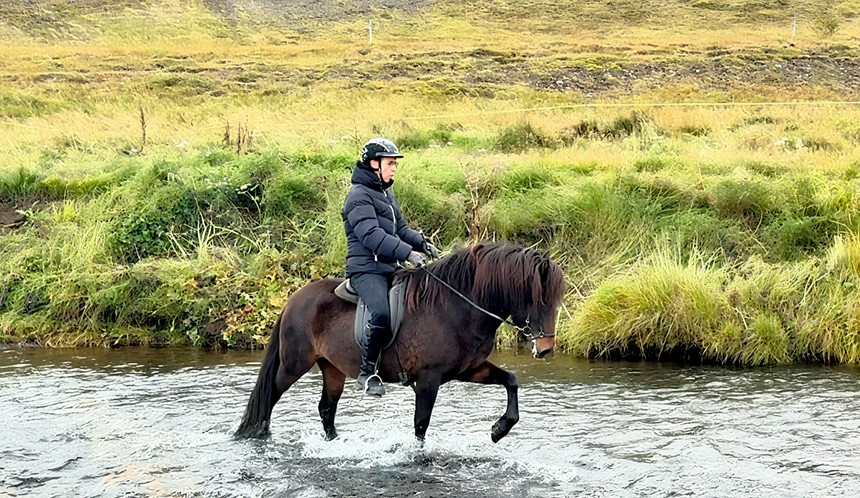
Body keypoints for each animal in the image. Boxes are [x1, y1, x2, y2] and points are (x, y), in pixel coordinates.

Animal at [233, 242, 566, 443]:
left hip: (332, 368)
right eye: (539, 298)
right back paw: (259, 435)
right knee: (270, 397)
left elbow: (510, 380)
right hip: (294, 364)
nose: (546, 349)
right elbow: (421, 424)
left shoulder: (470, 369)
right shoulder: (429, 378)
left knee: (326, 408)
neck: (455, 307)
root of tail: (294, 300)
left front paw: (500, 429)